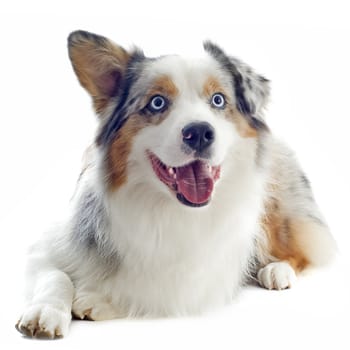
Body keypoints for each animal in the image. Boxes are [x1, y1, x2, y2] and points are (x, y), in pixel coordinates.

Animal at [15, 30, 336, 340]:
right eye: (157, 102)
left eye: (218, 100)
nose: (199, 132)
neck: (167, 209)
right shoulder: (49, 244)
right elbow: (55, 276)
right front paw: (45, 312)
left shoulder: (198, 277)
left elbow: (148, 289)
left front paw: (97, 299)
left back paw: (277, 270)